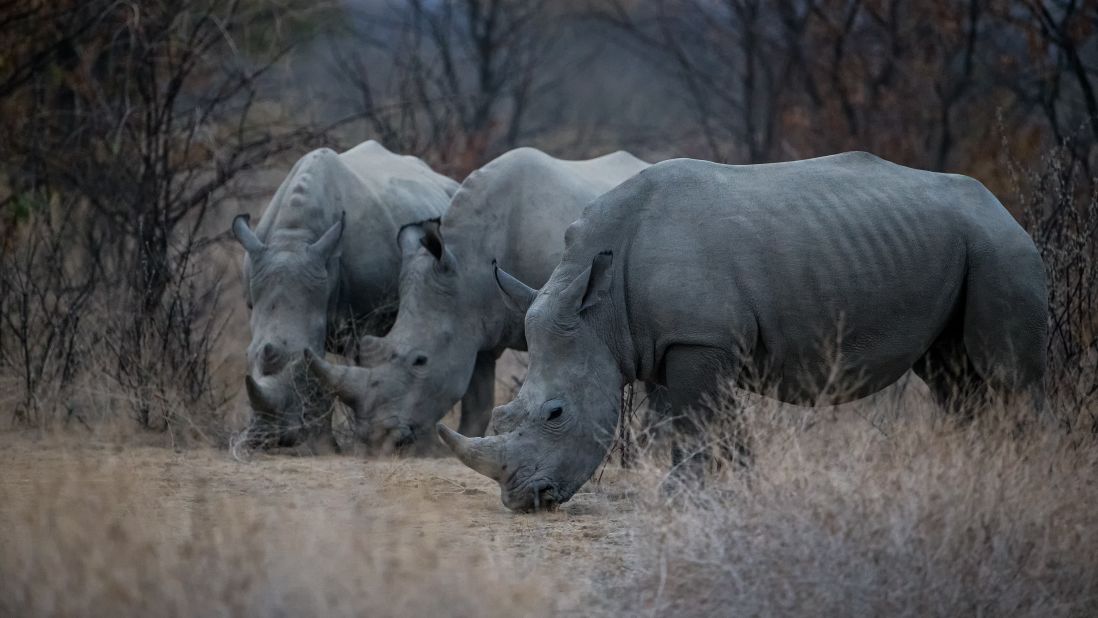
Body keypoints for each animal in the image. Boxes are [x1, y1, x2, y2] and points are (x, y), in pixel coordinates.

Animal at [231, 142, 454, 452]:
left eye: (302, 369)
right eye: (247, 356)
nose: (266, 439)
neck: (293, 239)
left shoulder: (367, 316)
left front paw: (328, 447)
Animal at [441, 153, 1049, 513]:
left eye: (556, 414)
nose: (522, 500)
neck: (598, 308)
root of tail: (1005, 208)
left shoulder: (698, 339)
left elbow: (696, 420)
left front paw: (692, 497)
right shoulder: (661, 341)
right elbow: (695, 422)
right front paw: (728, 490)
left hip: (1001, 250)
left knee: (1006, 378)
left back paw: (1021, 480)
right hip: (962, 248)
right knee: (954, 377)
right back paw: (973, 473)